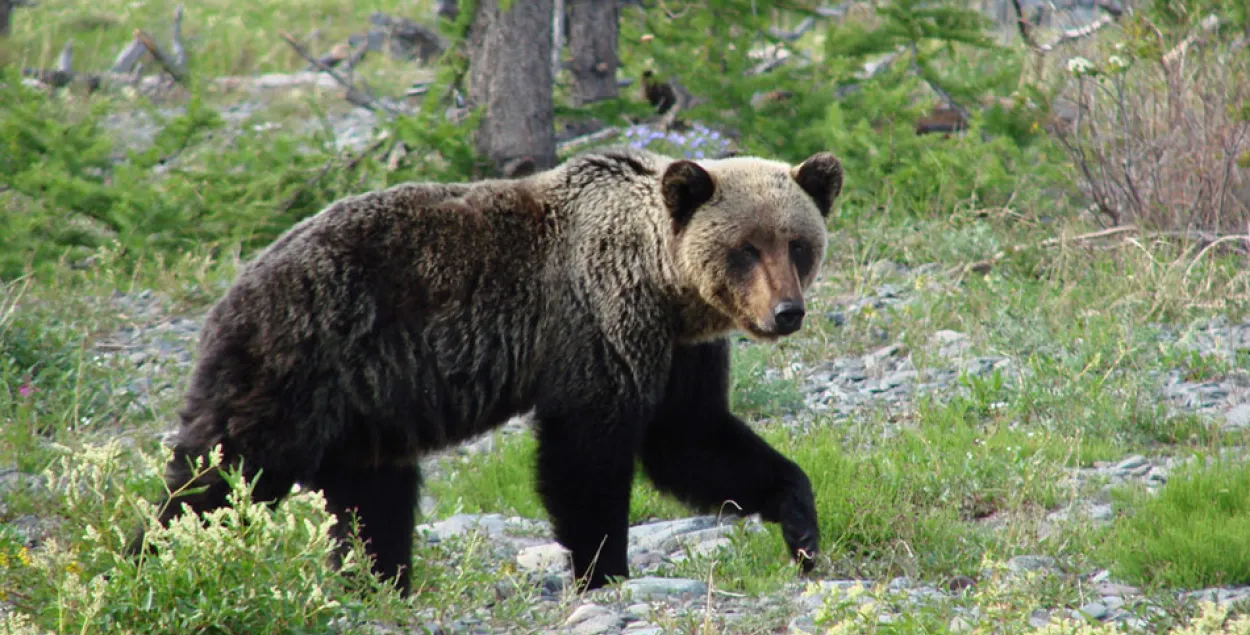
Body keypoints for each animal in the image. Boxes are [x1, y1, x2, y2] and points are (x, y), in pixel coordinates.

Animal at [129, 145, 840, 595]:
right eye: (746, 248)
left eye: (797, 244)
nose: (786, 312)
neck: (665, 285)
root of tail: (235, 285)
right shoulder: (596, 323)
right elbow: (587, 454)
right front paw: (604, 569)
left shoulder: (680, 351)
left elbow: (694, 441)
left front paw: (801, 528)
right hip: (294, 360)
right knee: (221, 470)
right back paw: (152, 562)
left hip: (365, 407)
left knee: (372, 498)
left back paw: (378, 581)